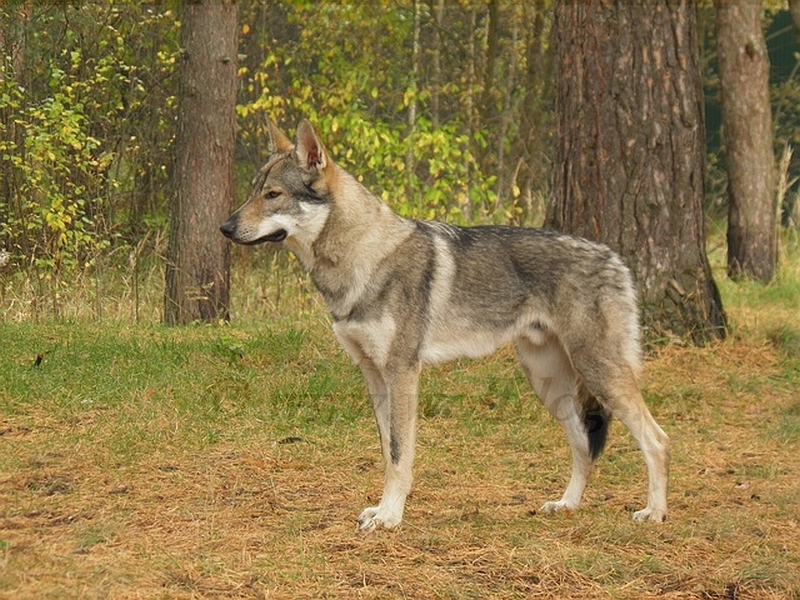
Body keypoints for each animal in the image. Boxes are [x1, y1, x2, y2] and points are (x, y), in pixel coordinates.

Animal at [219, 118, 668, 528]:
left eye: (273, 195)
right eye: (253, 192)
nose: (225, 227)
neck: (364, 257)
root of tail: (616, 258)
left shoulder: (402, 372)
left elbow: (399, 454)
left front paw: (389, 517)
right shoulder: (373, 375)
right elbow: (387, 453)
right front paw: (381, 510)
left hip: (598, 374)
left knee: (657, 441)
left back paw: (655, 513)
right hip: (548, 383)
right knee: (583, 446)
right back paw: (567, 505)